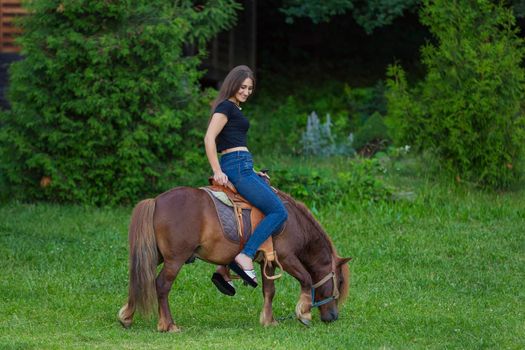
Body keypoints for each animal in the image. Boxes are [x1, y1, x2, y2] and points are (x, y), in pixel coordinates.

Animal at [116, 186, 350, 330]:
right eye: (339, 281)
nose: (333, 317)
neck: (293, 222)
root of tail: (156, 201)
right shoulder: (286, 258)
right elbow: (306, 279)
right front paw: (304, 314)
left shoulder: (268, 262)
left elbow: (269, 291)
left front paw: (269, 321)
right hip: (175, 260)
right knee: (161, 285)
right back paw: (168, 325)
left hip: (154, 255)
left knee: (138, 280)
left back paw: (126, 317)